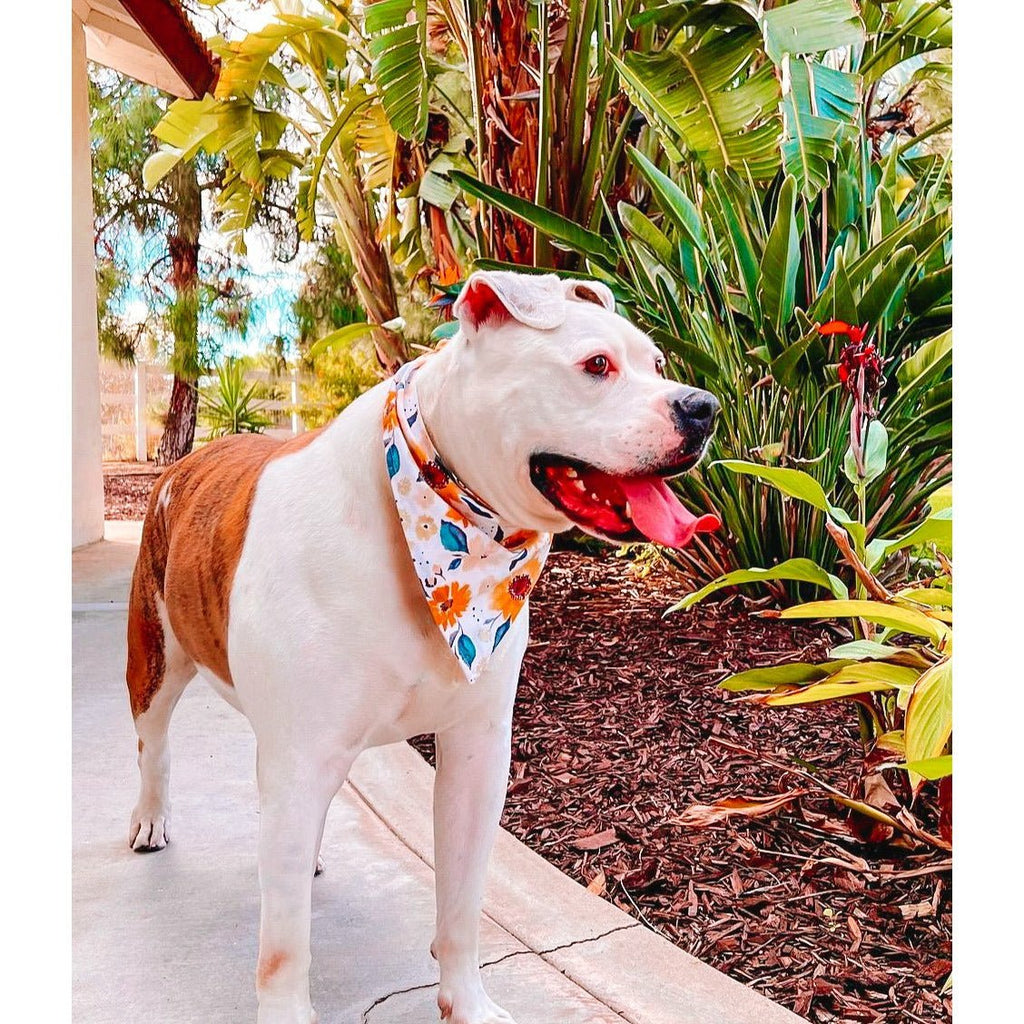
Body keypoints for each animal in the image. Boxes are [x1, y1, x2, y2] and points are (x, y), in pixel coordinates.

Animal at [125, 272, 720, 1024]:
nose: (704, 407)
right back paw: (150, 819)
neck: (443, 526)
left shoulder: (475, 751)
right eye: (596, 366)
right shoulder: (299, 755)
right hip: (154, 658)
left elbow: (462, 902)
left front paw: (466, 1001)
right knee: (153, 744)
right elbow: (284, 944)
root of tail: (197, 454)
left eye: (659, 364)